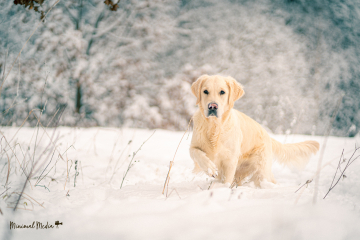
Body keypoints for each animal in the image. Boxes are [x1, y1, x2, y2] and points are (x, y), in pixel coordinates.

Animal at [190, 75, 320, 188]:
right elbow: (197, 153)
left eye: (222, 92)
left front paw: (221, 187)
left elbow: (227, 179)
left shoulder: (230, 159)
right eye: (205, 91)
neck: (214, 127)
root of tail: (267, 135)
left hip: (261, 169)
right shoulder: (194, 146)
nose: (212, 106)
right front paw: (210, 168)